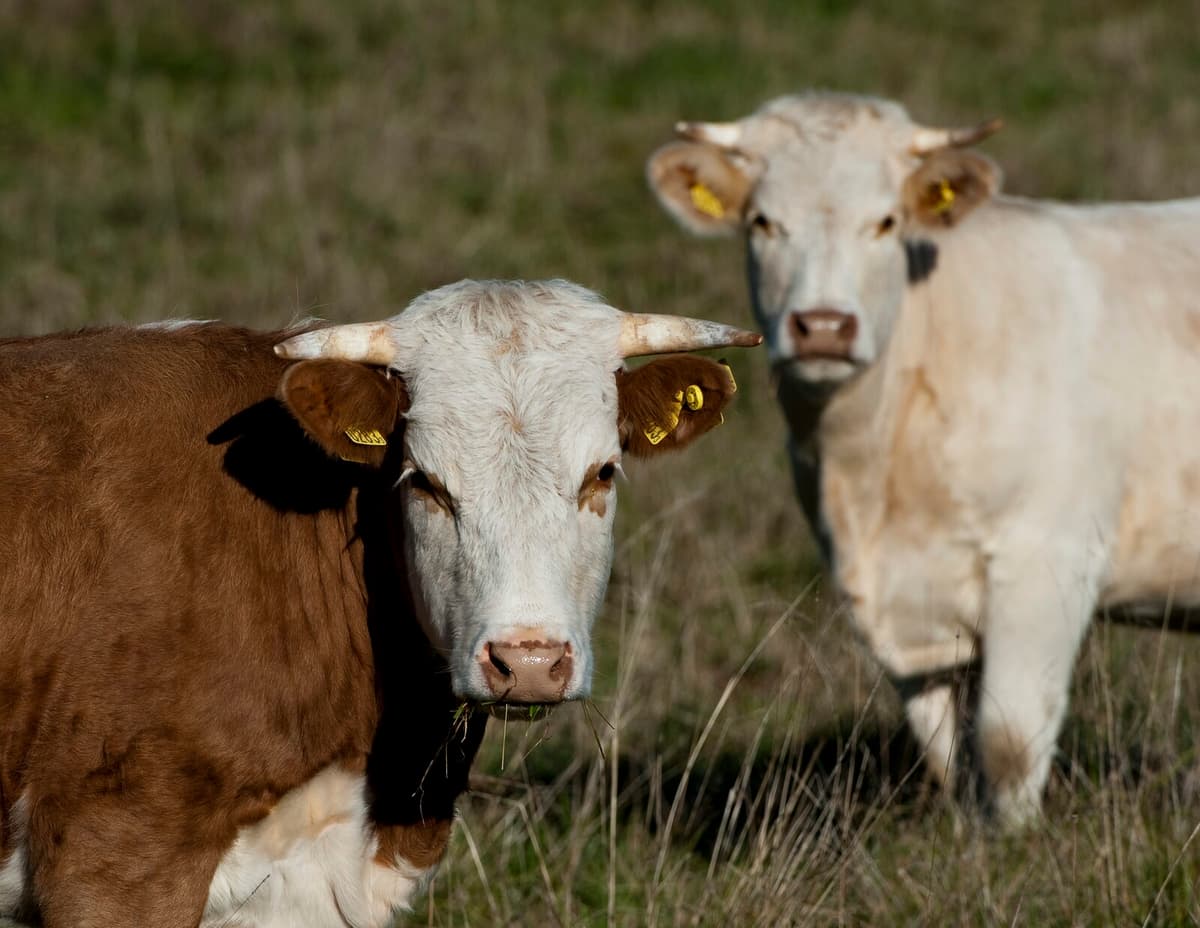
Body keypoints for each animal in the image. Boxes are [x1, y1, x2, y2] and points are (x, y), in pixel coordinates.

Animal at [647, 90, 1200, 826]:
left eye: (885, 221)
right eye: (763, 222)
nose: (824, 327)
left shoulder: (1048, 559)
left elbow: (1008, 739)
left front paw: (1015, 849)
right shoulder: (912, 616)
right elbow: (947, 751)